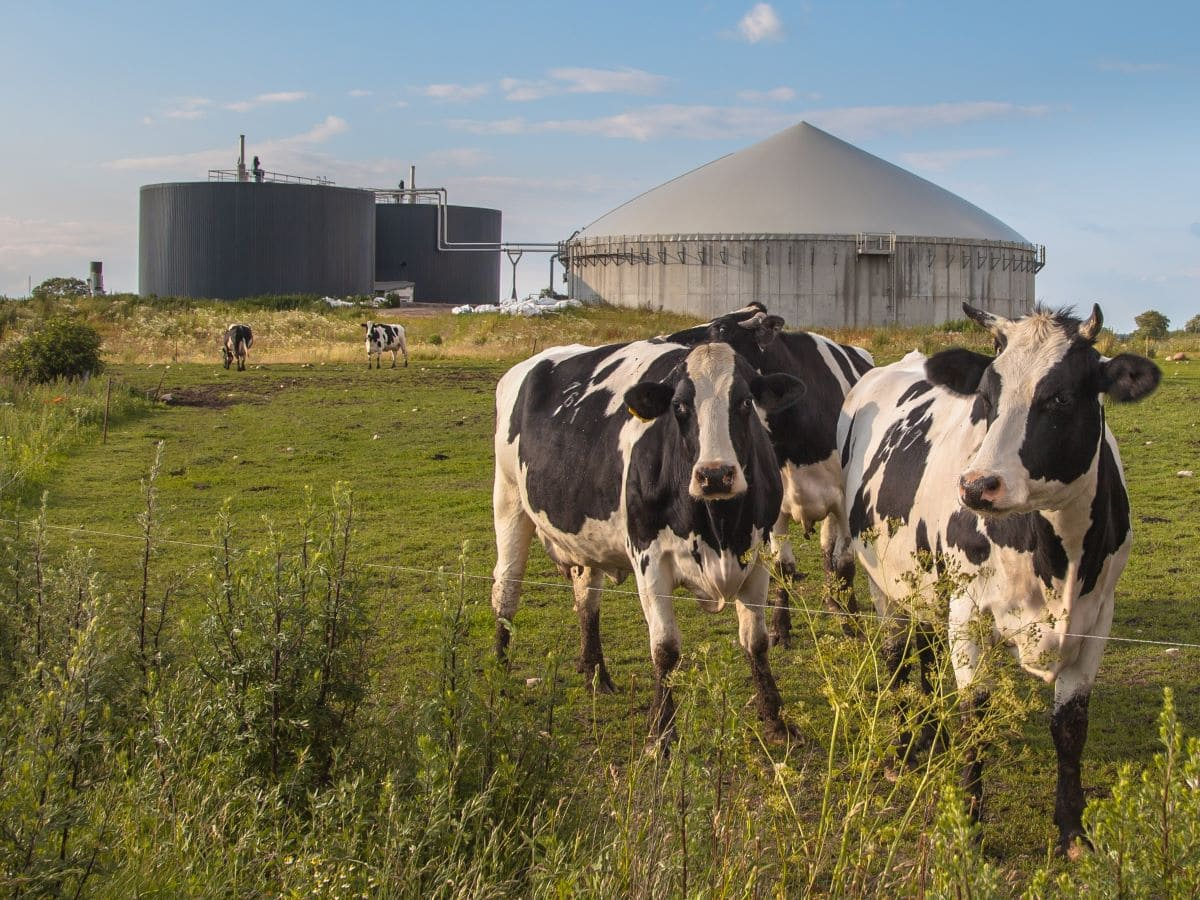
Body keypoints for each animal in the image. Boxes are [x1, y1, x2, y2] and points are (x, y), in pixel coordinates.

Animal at [487, 340, 806, 744]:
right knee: (506, 590)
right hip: (509, 499)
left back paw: (595, 674)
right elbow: (665, 649)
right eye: (679, 406)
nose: (715, 475)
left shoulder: (757, 555)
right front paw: (661, 733)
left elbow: (757, 642)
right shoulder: (649, 559)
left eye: (745, 402)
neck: (718, 528)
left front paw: (776, 721)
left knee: (586, 599)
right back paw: (499, 672)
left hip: (584, 543)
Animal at [667, 307, 873, 643]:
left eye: (721, 328)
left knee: (831, 552)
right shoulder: (776, 506)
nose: (672, 342)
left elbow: (844, 563)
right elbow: (782, 567)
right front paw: (780, 626)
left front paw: (851, 623)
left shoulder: (843, 501)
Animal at [835, 303, 1161, 854]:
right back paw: (903, 749)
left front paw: (1073, 830)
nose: (976, 485)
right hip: (884, 581)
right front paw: (969, 828)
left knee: (924, 647)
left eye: (1059, 397)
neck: (1056, 559)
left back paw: (930, 734)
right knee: (897, 656)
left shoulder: (1098, 619)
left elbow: (1071, 726)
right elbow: (976, 717)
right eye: (986, 397)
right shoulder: (968, 613)